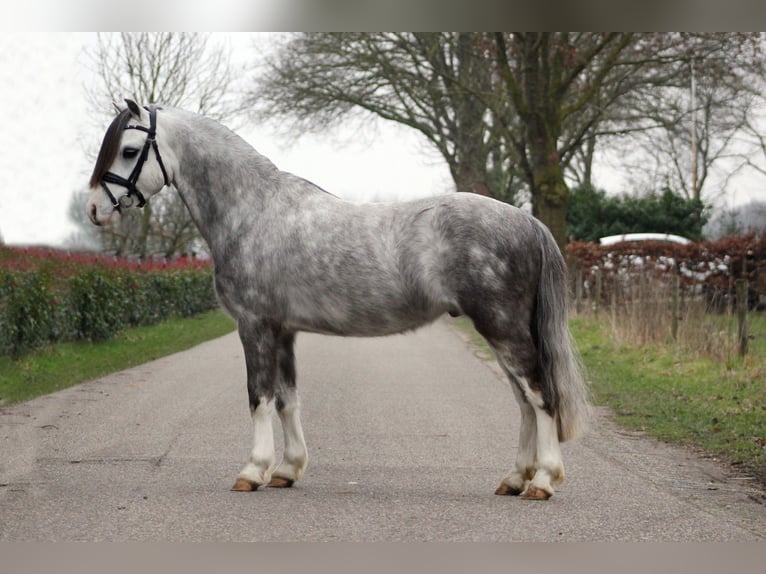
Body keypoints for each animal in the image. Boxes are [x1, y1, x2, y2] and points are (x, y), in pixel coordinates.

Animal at [86, 99, 590, 500]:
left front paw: (253, 471)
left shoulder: (254, 325)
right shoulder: (283, 331)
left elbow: (258, 397)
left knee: (539, 395)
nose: (93, 208)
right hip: (502, 331)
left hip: (503, 328)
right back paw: (515, 478)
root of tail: (526, 221)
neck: (254, 211)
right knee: (524, 401)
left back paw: (542, 481)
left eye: (128, 150)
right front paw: (287, 470)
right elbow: (287, 399)